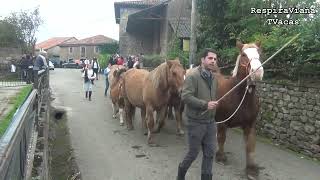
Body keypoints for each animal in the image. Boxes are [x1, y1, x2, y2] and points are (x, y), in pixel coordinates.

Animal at [214, 41, 264, 180]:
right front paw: (220, 157)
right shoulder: (221, 122)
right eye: (243, 55)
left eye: (259, 53)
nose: (257, 72)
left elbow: (250, 146)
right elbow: (221, 138)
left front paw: (251, 169)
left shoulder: (250, 125)